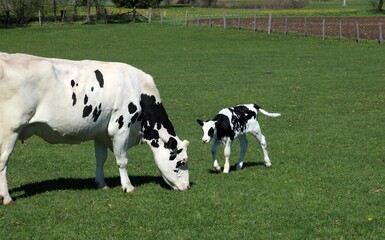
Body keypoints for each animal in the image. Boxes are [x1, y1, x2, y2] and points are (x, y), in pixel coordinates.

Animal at [0, 52, 189, 204]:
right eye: (181, 162)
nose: (187, 187)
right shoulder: (120, 128)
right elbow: (122, 160)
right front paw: (128, 186)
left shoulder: (100, 133)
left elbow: (100, 158)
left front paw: (101, 183)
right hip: (11, 129)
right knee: (3, 160)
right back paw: (7, 198)